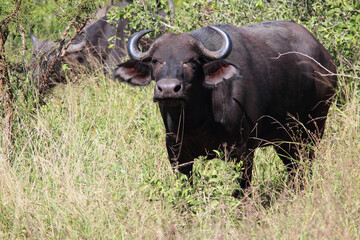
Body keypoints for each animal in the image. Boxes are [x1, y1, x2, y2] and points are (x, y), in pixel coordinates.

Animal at [114, 21, 338, 192]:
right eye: (155, 60)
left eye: (191, 61)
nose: (169, 89)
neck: (197, 120)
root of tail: (325, 58)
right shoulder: (176, 153)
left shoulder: (242, 151)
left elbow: (241, 190)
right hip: (284, 137)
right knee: (293, 166)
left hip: (314, 126)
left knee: (306, 162)